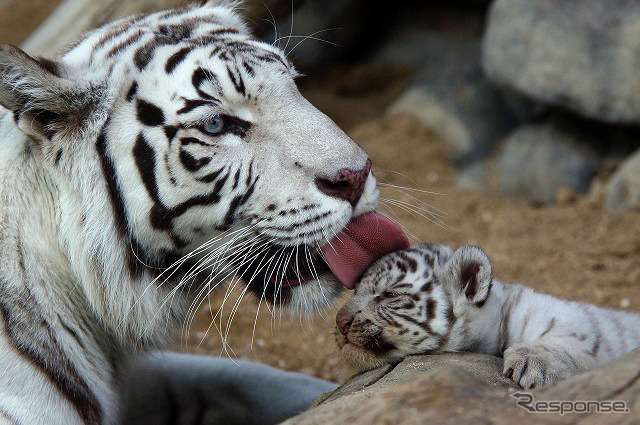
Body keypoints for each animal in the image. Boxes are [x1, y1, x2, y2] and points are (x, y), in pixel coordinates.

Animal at [336, 242, 640, 388]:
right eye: (355, 291)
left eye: (389, 295)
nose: (339, 322)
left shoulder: (575, 322)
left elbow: (564, 341)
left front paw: (534, 364)